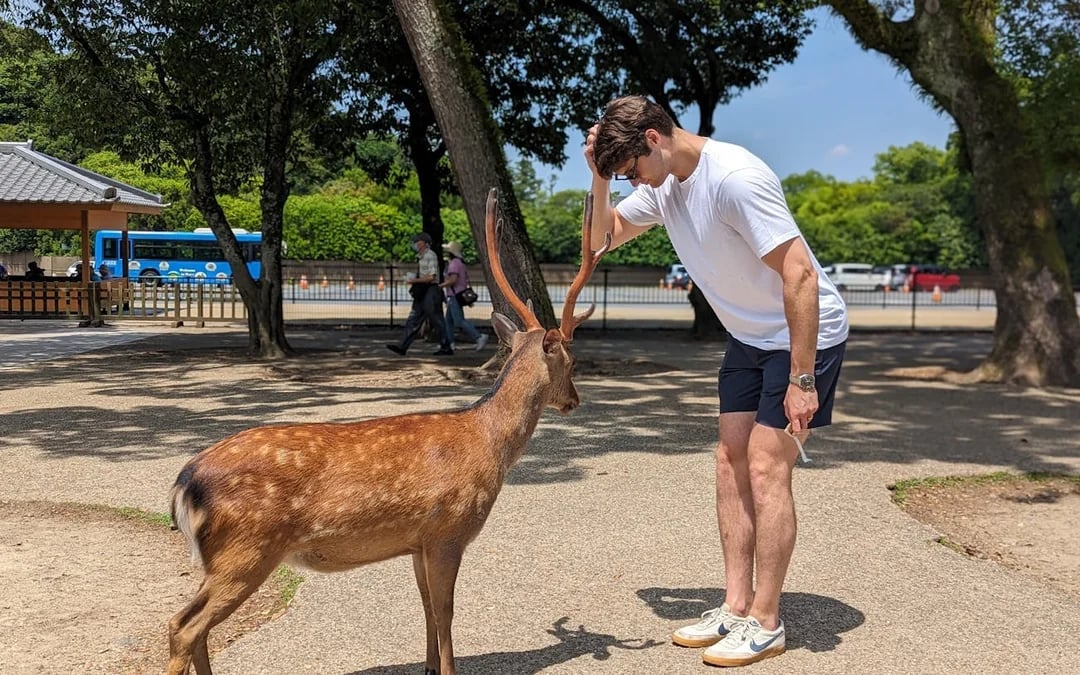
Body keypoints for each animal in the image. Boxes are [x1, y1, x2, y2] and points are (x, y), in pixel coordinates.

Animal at [166, 187, 610, 675]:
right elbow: (446, 611)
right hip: (245, 551)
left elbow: (426, 607)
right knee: (183, 626)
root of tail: (184, 483)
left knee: (196, 628)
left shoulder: (416, 543)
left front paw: (428, 667)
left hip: (223, 558)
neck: (489, 445)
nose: (574, 400)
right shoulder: (447, 532)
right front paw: (448, 670)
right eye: (572, 361)